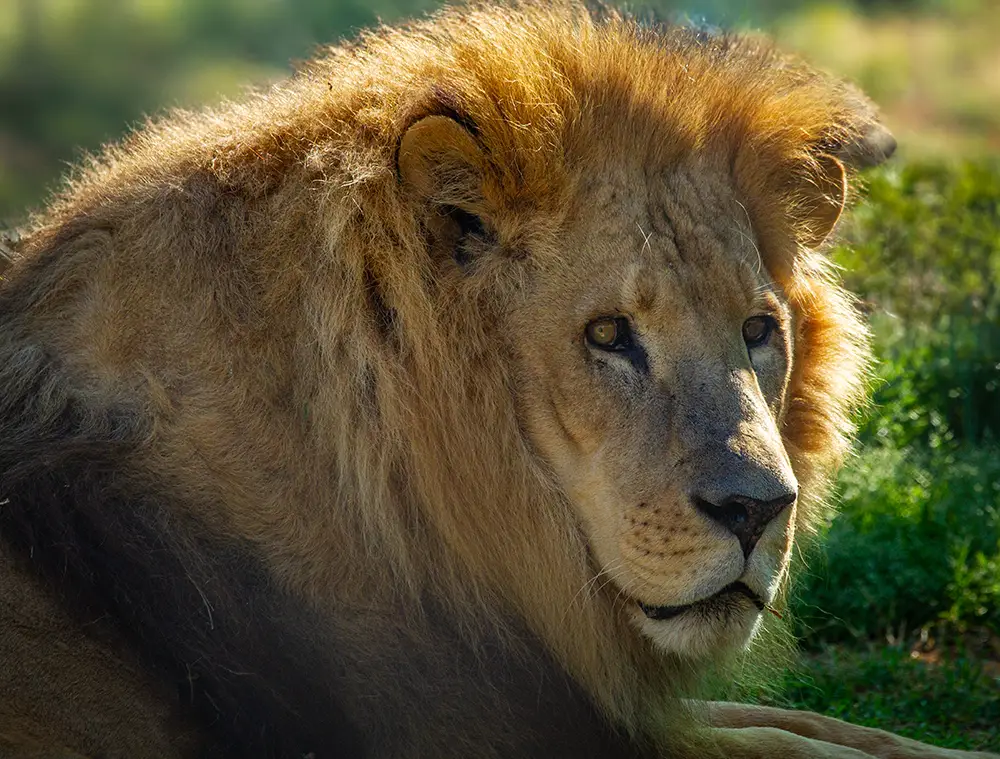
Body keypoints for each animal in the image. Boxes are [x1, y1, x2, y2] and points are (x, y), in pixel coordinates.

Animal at [0, 2, 991, 758]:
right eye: (608, 334)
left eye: (757, 332)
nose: (758, 510)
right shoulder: (497, 722)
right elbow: (788, 744)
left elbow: (827, 725)